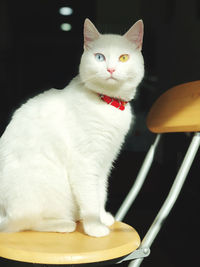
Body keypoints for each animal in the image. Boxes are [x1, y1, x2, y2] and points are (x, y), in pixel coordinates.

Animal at [0, 18, 145, 238]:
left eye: (123, 57)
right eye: (100, 57)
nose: (111, 69)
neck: (107, 103)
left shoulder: (104, 163)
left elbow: (100, 193)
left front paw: (102, 217)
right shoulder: (85, 162)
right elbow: (90, 198)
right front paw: (95, 227)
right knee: (24, 223)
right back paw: (63, 224)